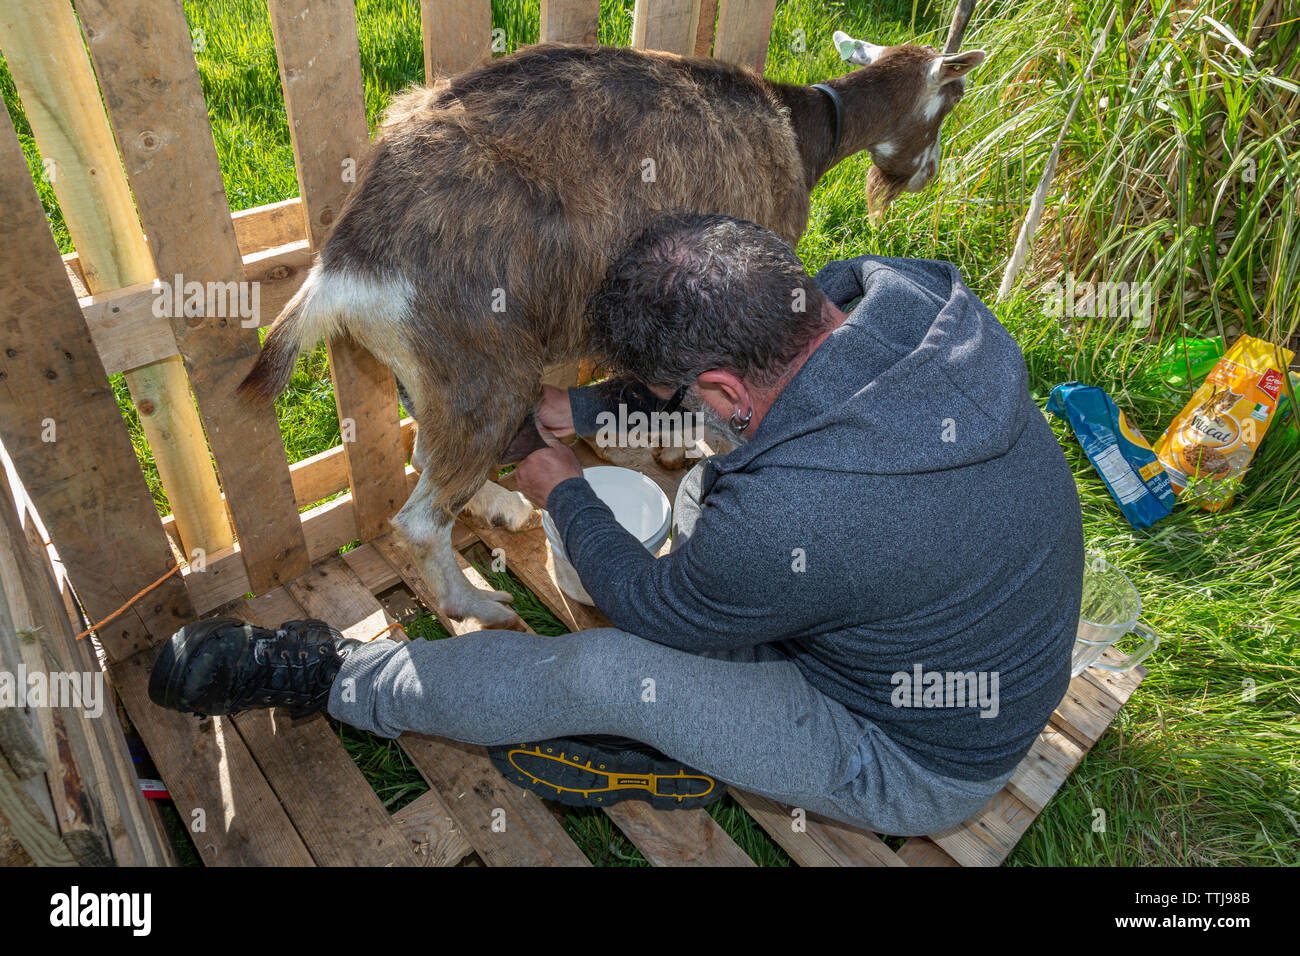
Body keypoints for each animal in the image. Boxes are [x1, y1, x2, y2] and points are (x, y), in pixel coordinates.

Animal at [239, 31, 982, 629]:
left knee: (424, 452)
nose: (926, 174)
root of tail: (346, 265)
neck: (800, 129)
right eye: (953, 96)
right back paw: (481, 604)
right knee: (420, 519)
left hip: (428, 370)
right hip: (484, 367)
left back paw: (500, 506)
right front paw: (692, 446)